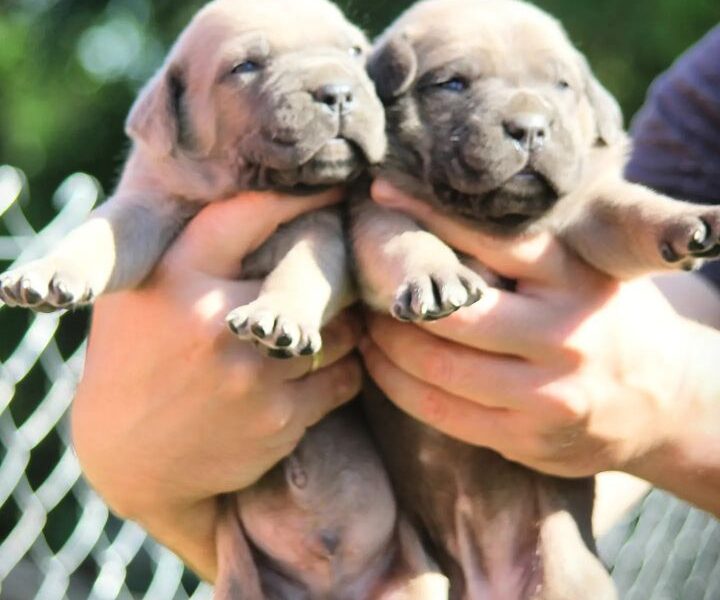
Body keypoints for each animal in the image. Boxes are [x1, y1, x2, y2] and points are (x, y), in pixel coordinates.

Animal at [352, 1, 720, 600]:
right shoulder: (372, 210)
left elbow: (626, 208)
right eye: (452, 84)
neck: (494, 218)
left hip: (569, 573)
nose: (529, 128)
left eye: (562, 85)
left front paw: (685, 219)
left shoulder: (583, 214)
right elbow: (402, 238)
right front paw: (435, 273)